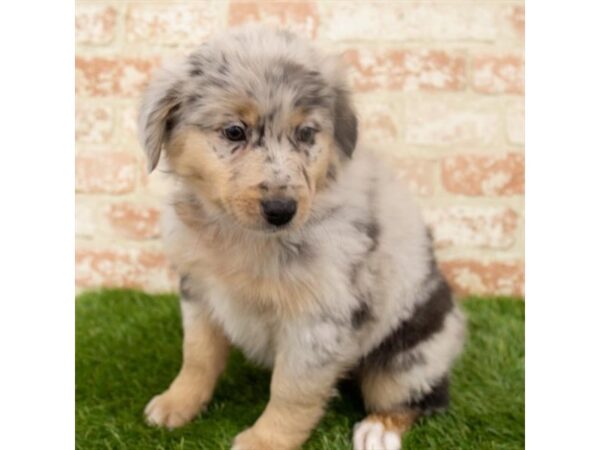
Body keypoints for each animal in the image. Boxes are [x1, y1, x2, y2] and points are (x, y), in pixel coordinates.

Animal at [138, 26, 466, 450]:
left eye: (306, 133)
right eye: (234, 132)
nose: (282, 209)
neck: (242, 236)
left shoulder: (318, 318)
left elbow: (291, 391)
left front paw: (264, 441)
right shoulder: (199, 291)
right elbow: (197, 355)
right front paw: (177, 403)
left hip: (408, 357)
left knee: (421, 399)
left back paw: (379, 429)